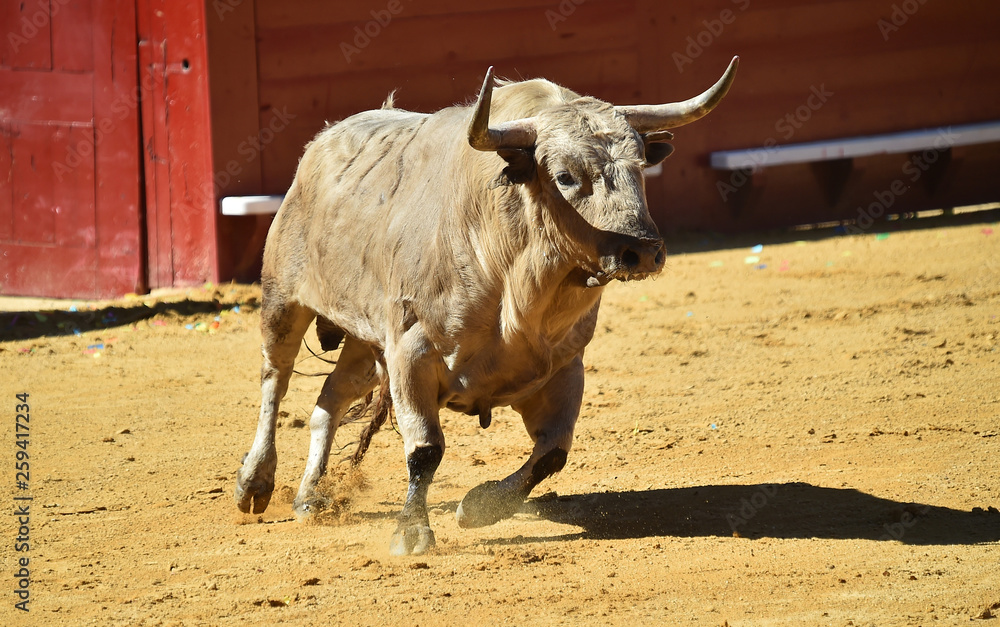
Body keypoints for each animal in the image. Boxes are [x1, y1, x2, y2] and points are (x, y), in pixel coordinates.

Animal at [232, 57, 736, 556]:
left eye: (639, 168)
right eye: (566, 176)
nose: (643, 251)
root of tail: (319, 145)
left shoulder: (563, 366)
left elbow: (552, 454)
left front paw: (480, 506)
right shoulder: (410, 353)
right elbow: (425, 449)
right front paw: (411, 531)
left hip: (365, 343)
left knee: (328, 401)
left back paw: (309, 496)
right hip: (283, 301)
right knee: (275, 380)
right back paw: (255, 482)